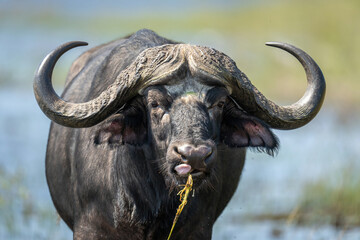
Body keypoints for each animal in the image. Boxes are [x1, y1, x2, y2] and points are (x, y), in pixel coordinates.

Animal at [33, 29, 326, 239]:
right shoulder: (91, 229)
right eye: (155, 103)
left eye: (219, 103)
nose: (194, 155)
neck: (152, 199)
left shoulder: (197, 230)